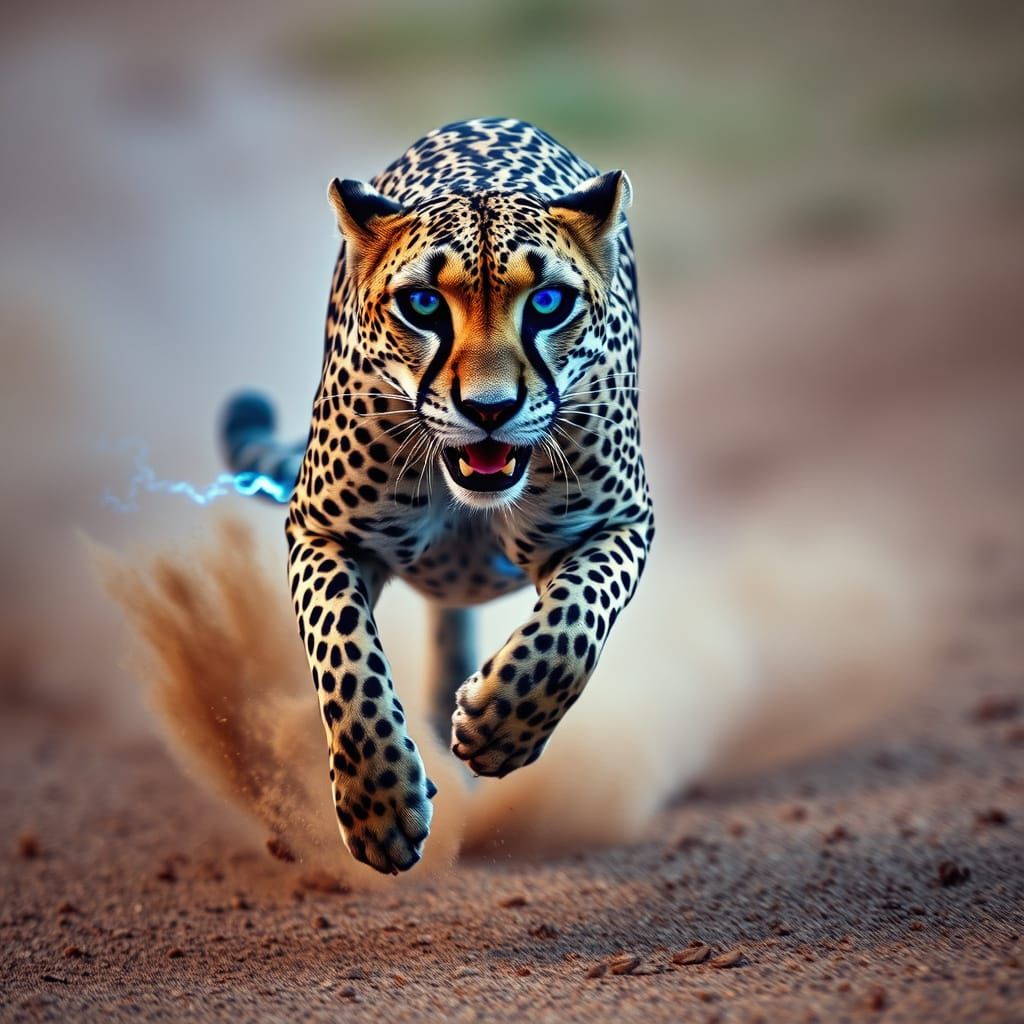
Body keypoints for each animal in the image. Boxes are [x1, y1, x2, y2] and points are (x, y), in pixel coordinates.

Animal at [221, 117, 654, 874]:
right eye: (423, 305)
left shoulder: (620, 524)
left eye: (548, 303)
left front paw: (500, 726)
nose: (489, 409)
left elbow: (571, 631)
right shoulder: (322, 533)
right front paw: (379, 803)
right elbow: (345, 658)